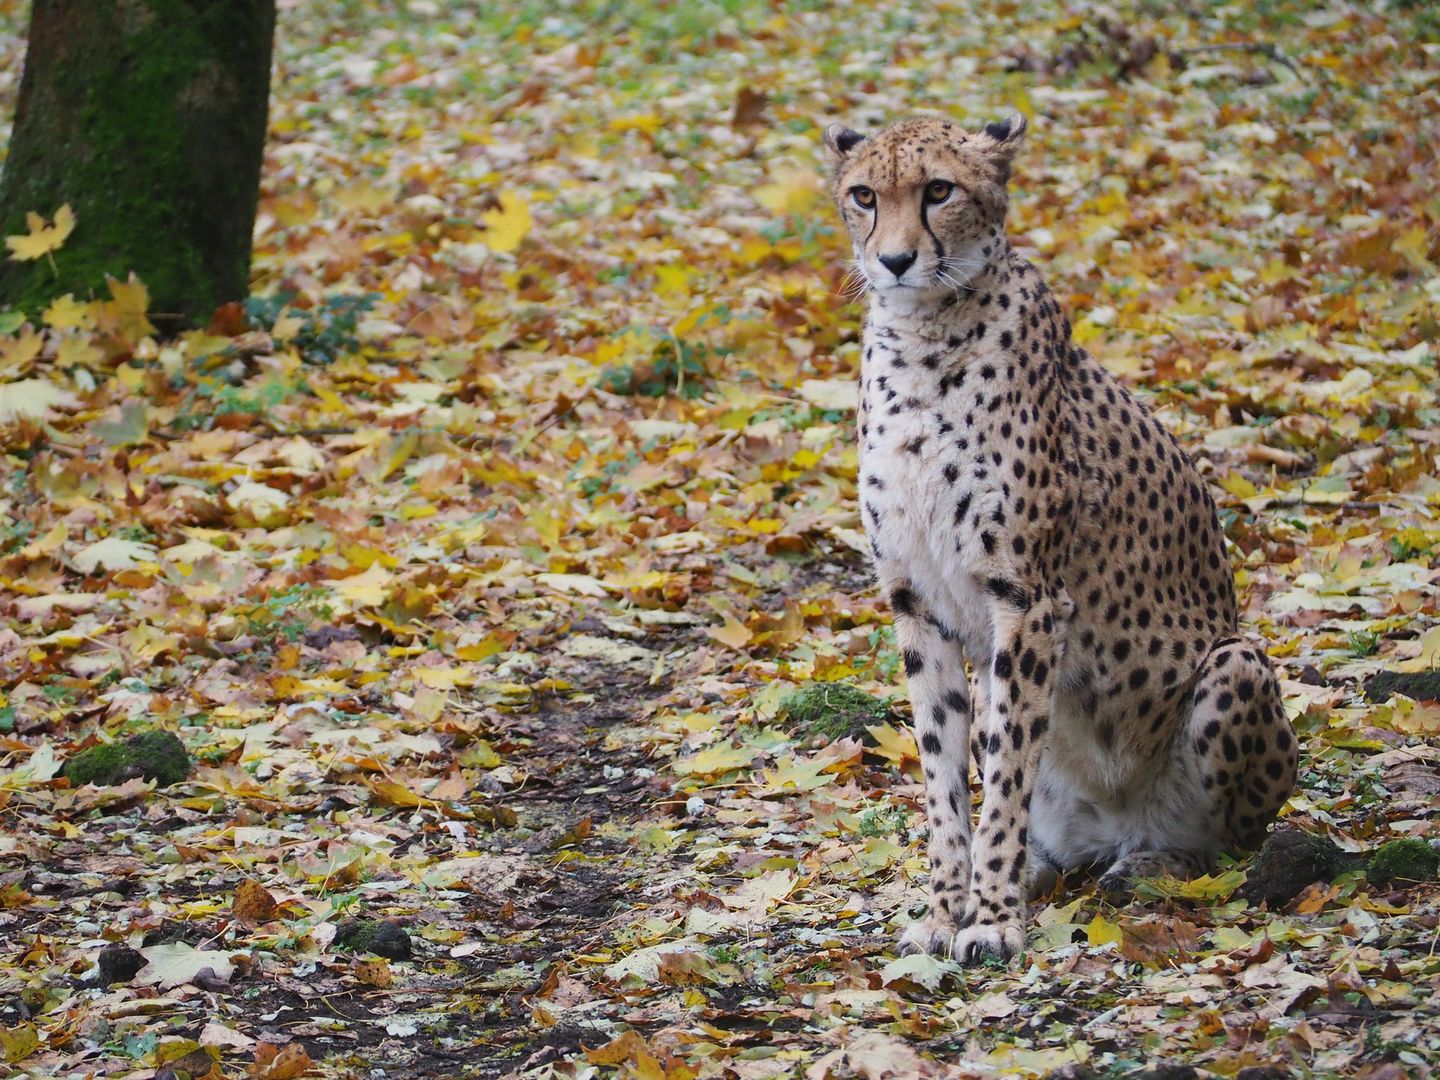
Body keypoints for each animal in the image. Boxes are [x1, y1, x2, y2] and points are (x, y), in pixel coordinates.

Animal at [823, 116, 1307, 961]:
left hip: (1234, 664)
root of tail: (1112, 829)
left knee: (1228, 842)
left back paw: (1151, 863)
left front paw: (989, 918)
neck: (924, 338)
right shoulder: (917, 604)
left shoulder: (1029, 599)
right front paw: (946, 910)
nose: (895, 260)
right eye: (864, 196)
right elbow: (946, 771)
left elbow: (1005, 772)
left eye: (939, 190)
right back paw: (1046, 868)